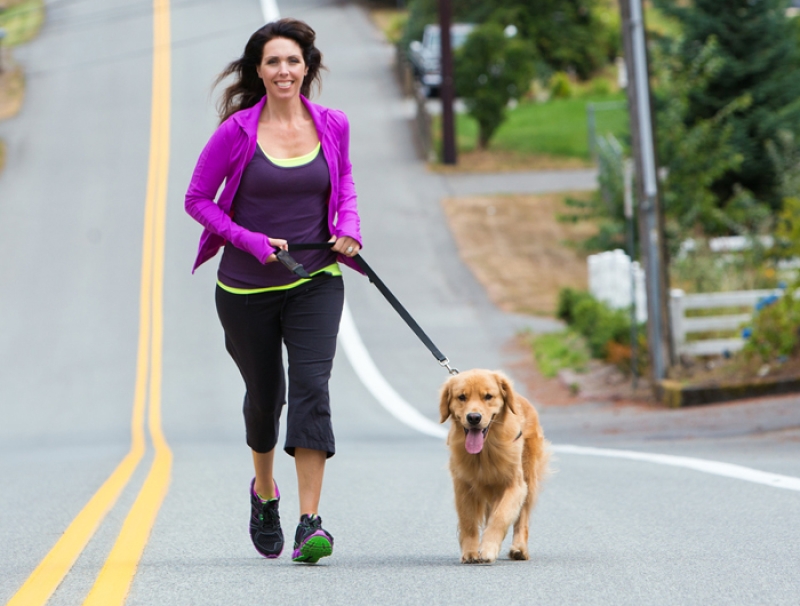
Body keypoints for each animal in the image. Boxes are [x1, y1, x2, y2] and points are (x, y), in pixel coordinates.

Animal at [440, 370, 548, 564]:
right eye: (462, 397)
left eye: (488, 396)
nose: (474, 418)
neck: (485, 450)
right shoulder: (463, 485)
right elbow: (468, 521)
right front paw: (470, 552)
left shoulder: (516, 485)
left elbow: (501, 516)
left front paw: (488, 548)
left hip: (529, 477)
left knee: (522, 517)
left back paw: (519, 549)